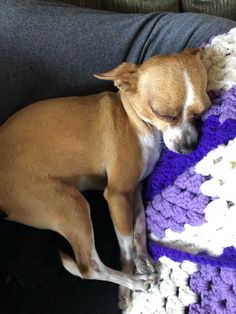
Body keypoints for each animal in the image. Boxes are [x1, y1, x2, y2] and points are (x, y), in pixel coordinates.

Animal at [0, 49, 210, 310]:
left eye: (200, 113)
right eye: (164, 114)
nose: (189, 147)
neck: (136, 122)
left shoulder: (134, 191)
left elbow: (139, 229)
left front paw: (144, 261)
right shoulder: (117, 195)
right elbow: (126, 247)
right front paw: (128, 286)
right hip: (72, 206)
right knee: (88, 267)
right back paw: (134, 282)